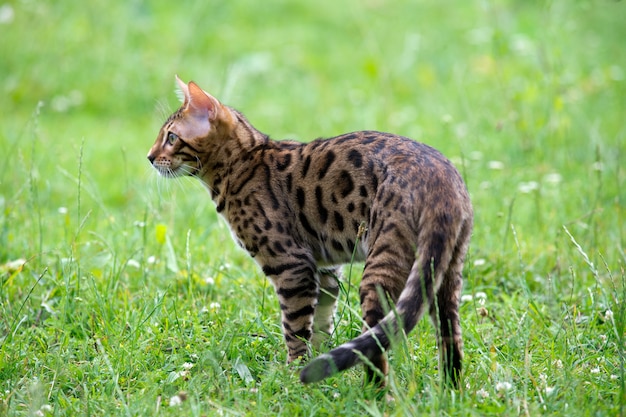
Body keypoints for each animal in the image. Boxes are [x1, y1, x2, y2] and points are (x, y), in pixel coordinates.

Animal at [146, 75, 470, 386]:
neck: (243, 162)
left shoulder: (292, 265)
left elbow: (295, 327)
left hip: (382, 267)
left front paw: (294, 374)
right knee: (450, 336)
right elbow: (321, 323)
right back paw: (449, 390)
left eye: (171, 137)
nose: (149, 157)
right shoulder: (325, 270)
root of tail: (439, 177)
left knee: (378, 342)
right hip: (445, 271)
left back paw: (372, 394)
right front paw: (320, 371)